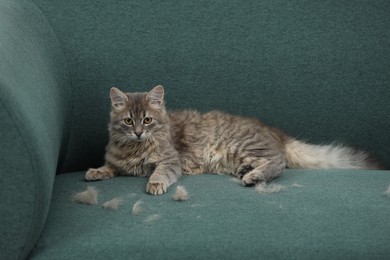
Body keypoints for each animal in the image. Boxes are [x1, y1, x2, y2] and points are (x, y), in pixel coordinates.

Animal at [85, 85, 380, 195]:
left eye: (147, 120)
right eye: (128, 121)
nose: (138, 132)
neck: (134, 148)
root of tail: (277, 133)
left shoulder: (170, 160)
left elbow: (161, 172)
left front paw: (155, 184)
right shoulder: (118, 161)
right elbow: (110, 166)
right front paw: (95, 171)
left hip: (240, 146)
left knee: (278, 163)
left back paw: (252, 177)